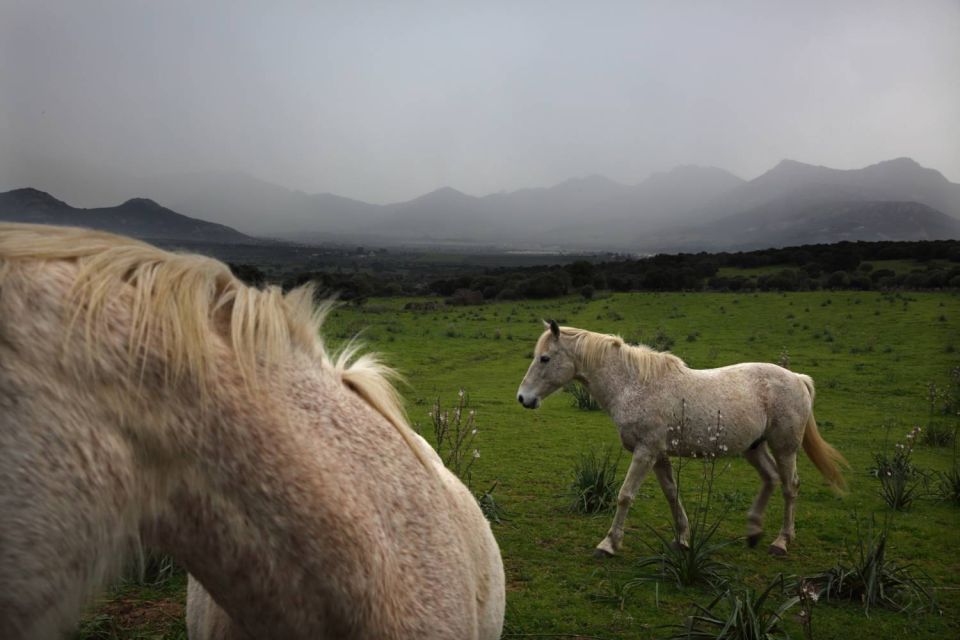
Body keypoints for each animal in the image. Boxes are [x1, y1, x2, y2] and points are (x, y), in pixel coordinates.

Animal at [516, 322, 848, 556]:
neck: (633, 385)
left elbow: (625, 495)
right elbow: (672, 495)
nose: (523, 398)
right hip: (753, 447)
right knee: (770, 478)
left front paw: (608, 544)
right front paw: (683, 540)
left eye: (544, 358)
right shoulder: (658, 455)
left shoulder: (645, 452)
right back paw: (754, 530)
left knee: (790, 487)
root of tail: (798, 379)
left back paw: (781, 542)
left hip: (785, 447)